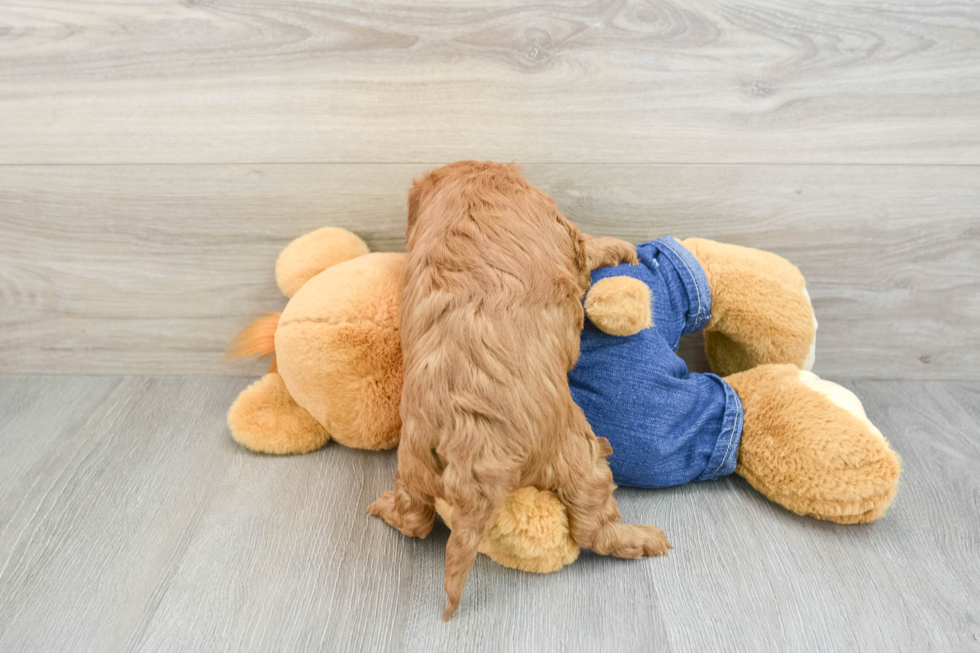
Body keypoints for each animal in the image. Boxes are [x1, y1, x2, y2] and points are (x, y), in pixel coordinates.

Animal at [370, 160, 672, 620]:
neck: (474, 184)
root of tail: (470, 445)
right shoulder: (566, 237)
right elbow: (587, 247)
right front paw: (621, 247)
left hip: (415, 465)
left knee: (415, 519)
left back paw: (384, 508)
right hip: (576, 455)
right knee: (593, 528)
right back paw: (642, 538)